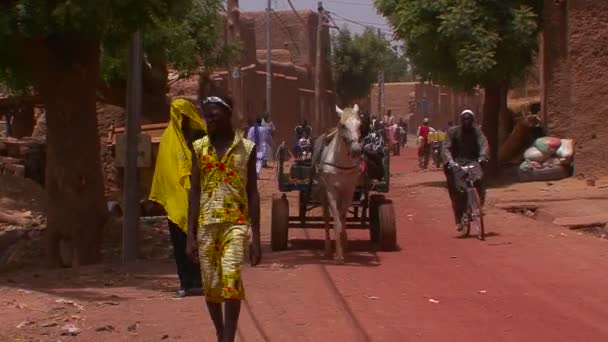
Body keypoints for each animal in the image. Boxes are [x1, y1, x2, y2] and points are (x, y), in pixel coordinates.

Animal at [314, 103, 360, 262]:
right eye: (343, 125)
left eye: (359, 124)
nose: (357, 150)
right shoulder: (331, 190)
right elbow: (336, 220)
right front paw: (338, 254)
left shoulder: (349, 190)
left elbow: (342, 217)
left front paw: (344, 246)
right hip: (322, 191)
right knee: (326, 217)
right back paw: (328, 248)